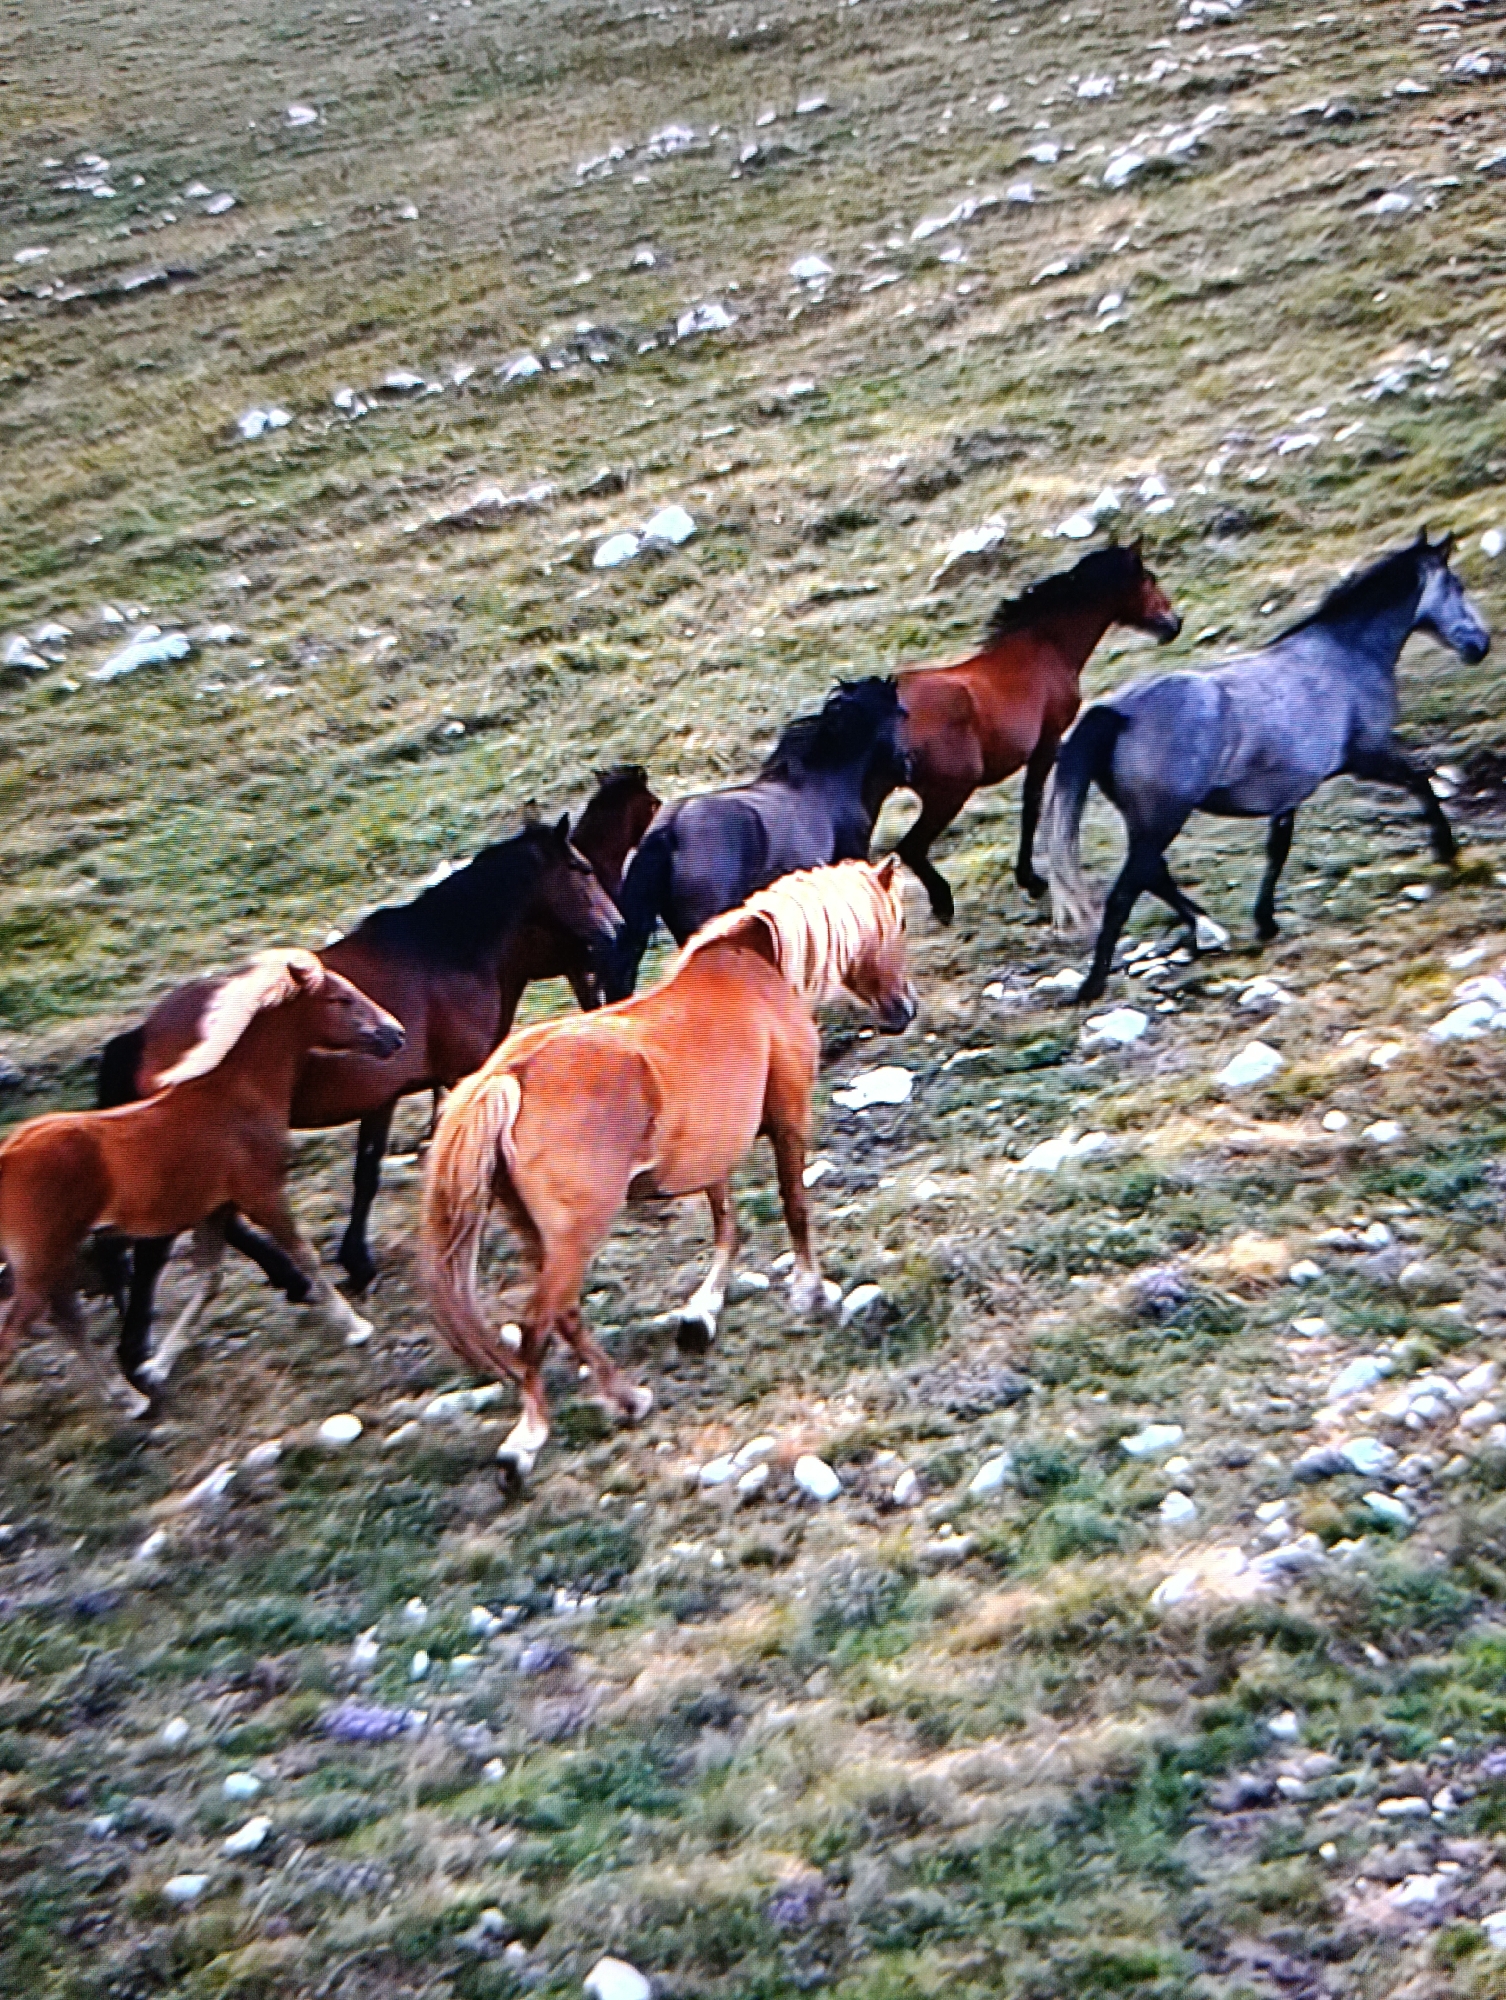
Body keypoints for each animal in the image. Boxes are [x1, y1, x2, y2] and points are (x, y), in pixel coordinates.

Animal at [0, 952, 404, 1418]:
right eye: (340, 999)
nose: (397, 1034)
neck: (234, 1094)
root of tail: (7, 1155)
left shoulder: (216, 1209)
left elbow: (210, 1282)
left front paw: (157, 1367)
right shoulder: (262, 1194)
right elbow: (305, 1255)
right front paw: (355, 1327)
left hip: (53, 1261)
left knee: (69, 1322)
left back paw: (131, 1399)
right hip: (41, 1262)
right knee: (19, 1334)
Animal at [97, 814, 625, 1390]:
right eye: (581, 869)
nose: (616, 927)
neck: (446, 952)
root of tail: (138, 1038)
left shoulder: (383, 1098)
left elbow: (367, 1174)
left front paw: (357, 1262)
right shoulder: (462, 1076)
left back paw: (285, 1284)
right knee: (159, 1245)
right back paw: (141, 1351)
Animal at [421, 857, 917, 1486]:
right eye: (899, 922)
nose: (905, 1008)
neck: (757, 963)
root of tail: (505, 1078)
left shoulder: (713, 1147)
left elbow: (727, 1225)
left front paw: (702, 1311)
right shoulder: (788, 1119)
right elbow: (794, 1207)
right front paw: (811, 1291)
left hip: (538, 1233)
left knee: (565, 1317)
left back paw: (625, 1398)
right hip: (576, 1235)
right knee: (537, 1327)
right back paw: (532, 1439)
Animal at [893, 542, 1182, 923]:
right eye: (1149, 579)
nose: (1174, 624)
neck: (1045, 647)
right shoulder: (1047, 742)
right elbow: (1033, 806)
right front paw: (1030, 879)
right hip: (949, 793)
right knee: (910, 847)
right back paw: (942, 903)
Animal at [1042, 531, 1491, 1004]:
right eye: (1457, 585)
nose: (1480, 645)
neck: (1345, 653)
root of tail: (1117, 711)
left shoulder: (1288, 794)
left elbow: (1277, 851)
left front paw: (1265, 921)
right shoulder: (1369, 757)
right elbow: (1420, 781)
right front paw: (1446, 848)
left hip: (1146, 820)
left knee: (1153, 875)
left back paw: (1209, 929)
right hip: (1163, 818)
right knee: (1127, 890)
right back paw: (1094, 984)